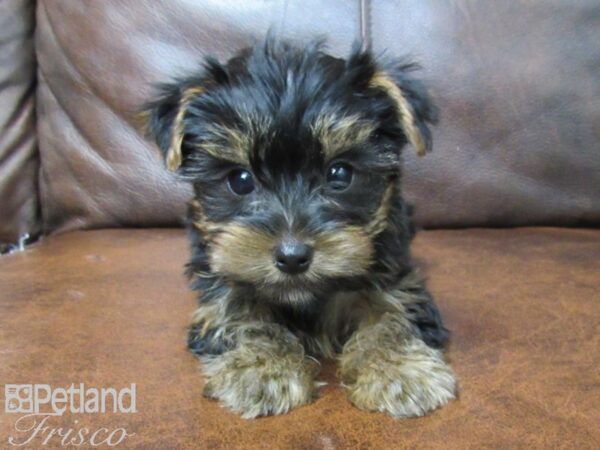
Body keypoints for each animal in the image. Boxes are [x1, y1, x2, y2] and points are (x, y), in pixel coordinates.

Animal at [144, 37, 454, 418]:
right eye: (240, 180)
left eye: (340, 174)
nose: (292, 256)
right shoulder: (219, 283)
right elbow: (238, 313)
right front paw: (262, 370)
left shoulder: (395, 275)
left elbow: (393, 312)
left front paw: (397, 370)